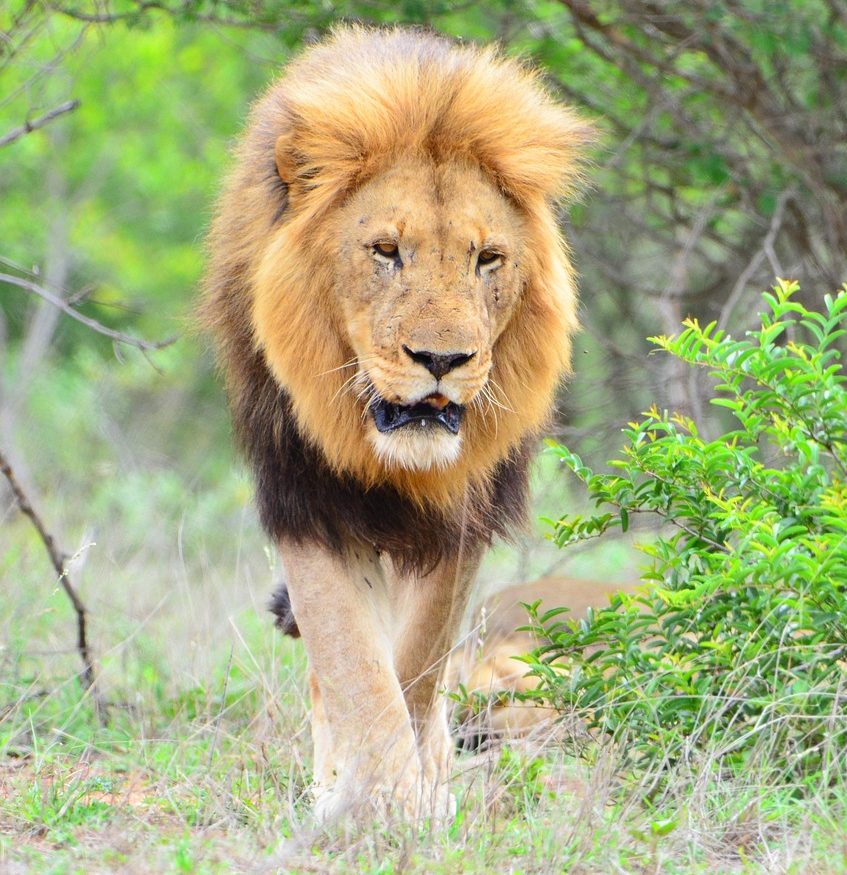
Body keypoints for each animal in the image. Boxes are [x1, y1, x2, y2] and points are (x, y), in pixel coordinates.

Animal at [201, 26, 595, 823]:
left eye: (487, 259)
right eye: (386, 250)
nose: (441, 359)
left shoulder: (464, 518)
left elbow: (416, 661)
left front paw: (418, 796)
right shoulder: (307, 500)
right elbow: (351, 660)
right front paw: (374, 805)